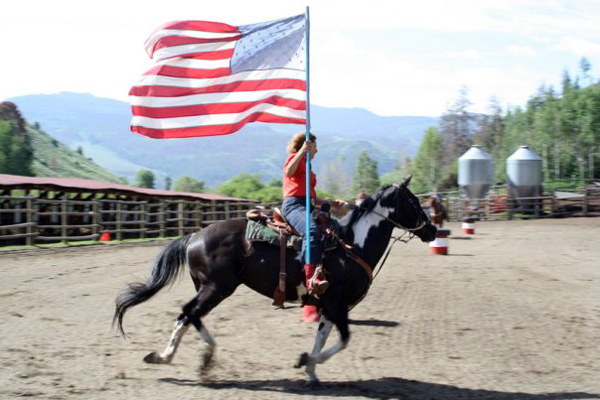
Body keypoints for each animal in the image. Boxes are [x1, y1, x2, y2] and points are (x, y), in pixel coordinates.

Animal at [112, 176, 436, 388]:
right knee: (186, 313)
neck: (351, 245)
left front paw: (311, 371)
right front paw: (305, 361)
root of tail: (193, 235)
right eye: (413, 200)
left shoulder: (330, 306)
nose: (432, 230)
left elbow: (323, 338)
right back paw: (165, 357)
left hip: (209, 288)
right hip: (216, 288)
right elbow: (343, 340)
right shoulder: (337, 303)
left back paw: (204, 357)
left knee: (193, 315)